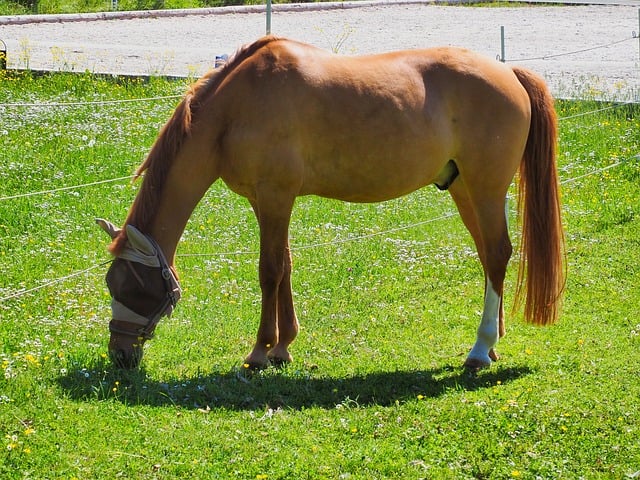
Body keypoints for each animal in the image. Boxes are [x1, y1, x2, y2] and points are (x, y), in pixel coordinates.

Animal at [96, 35, 564, 372]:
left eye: (130, 286)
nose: (119, 352)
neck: (236, 107)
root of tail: (509, 73)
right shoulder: (267, 202)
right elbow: (285, 264)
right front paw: (283, 347)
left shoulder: (275, 196)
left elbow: (269, 271)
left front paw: (260, 351)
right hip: (464, 188)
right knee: (488, 255)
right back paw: (495, 340)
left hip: (485, 188)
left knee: (499, 254)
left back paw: (480, 349)